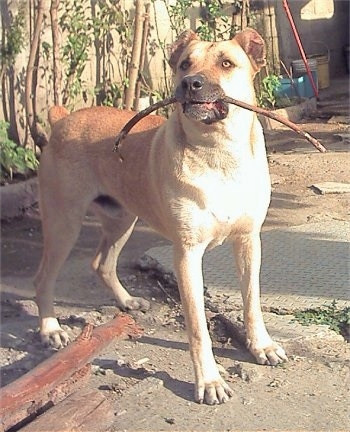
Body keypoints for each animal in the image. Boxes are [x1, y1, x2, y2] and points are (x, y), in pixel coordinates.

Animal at [34, 28, 288, 404]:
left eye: (227, 63)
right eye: (184, 64)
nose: (190, 83)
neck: (219, 156)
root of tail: (62, 119)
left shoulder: (248, 242)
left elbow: (252, 302)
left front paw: (262, 346)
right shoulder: (186, 256)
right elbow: (198, 328)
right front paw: (209, 381)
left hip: (122, 220)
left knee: (102, 263)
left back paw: (126, 301)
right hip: (63, 224)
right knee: (43, 279)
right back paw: (51, 329)